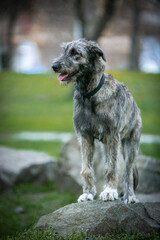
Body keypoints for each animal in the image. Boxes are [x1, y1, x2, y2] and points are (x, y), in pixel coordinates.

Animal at [52, 38, 142, 203]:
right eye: (64, 51)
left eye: (76, 53)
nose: (54, 66)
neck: (90, 95)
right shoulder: (85, 136)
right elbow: (86, 169)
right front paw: (87, 193)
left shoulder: (113, 136)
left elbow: (112, 168)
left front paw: (110, 191)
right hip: (106, 147)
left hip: (130, 146)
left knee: (127, 172)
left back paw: (130, 196)